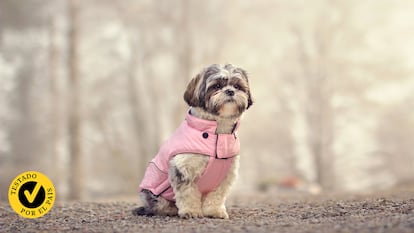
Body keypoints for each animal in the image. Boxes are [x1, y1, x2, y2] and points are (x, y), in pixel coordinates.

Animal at [134, 63, 254, 218]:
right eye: (216, 86)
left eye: (237, 86)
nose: (230, 91)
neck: (217, 131)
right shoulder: (183, 168)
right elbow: (187, 193)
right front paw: (190, 211)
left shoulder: (224, 175)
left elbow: (216, 196)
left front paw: (214, 211)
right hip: (154, 195)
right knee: (160, 206)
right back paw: (170, 210)